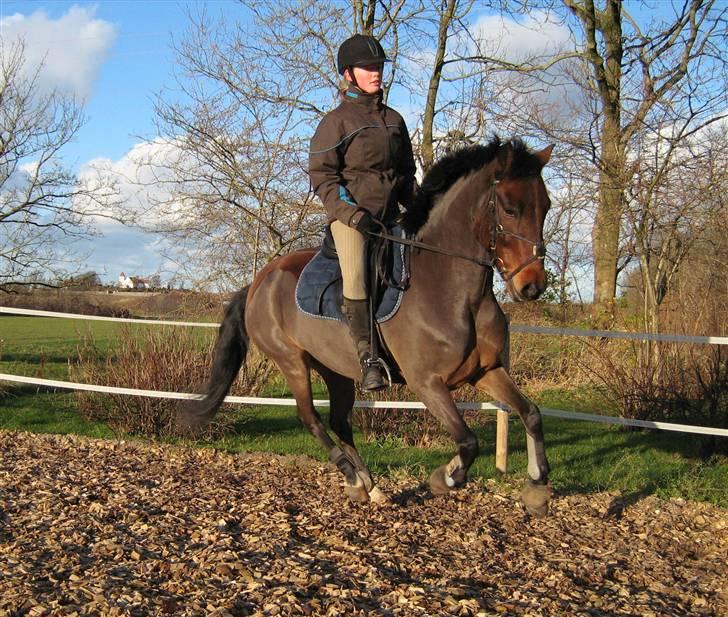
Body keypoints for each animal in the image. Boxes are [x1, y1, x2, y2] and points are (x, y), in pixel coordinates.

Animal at [181, 136, 555, 516]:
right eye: (510, 209)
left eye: (546, 206)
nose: (532, 286)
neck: (453, 289)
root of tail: (259, 281)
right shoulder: (427, 383)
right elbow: (468, 441)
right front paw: (445, 478)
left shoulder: (485, 371)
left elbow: (532, 413)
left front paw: (537, 487)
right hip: (291, 362)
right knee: (310, 418)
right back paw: (353, 478)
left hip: (335, 368)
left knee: (339, 420)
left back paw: (368, 487)